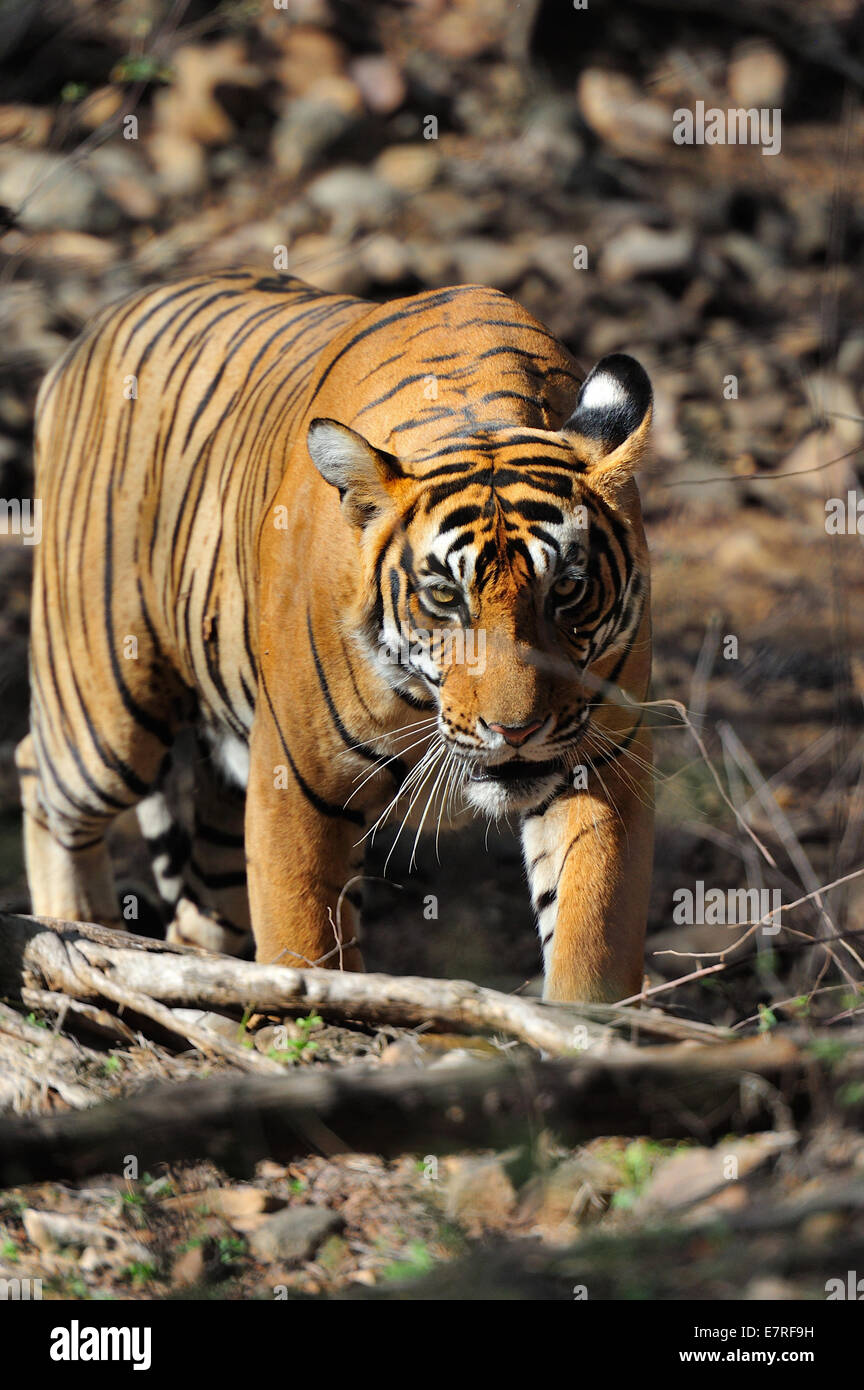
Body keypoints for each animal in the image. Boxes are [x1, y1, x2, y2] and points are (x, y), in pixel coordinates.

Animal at [16, 269, 654, 1003]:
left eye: (568, 589)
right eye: (445, 597)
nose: (515, 731)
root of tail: (91, 331)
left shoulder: (601, 762)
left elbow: (590, 936)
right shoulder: (298, 782)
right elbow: (304, 948)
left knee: (198, 909)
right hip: (104, 713)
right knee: (38, 775)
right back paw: (77, 933)